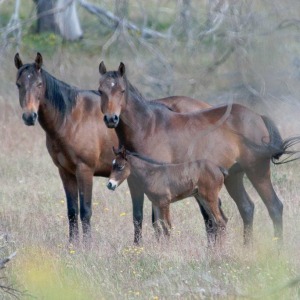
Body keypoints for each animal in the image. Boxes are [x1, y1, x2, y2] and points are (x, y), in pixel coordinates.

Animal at [14, 51, 216, 244]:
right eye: (18, 84)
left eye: (39, 84)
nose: (29, 116)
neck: (72, 119)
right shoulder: (65, 172)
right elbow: (72, 211)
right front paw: (72, 245)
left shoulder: (84, 170)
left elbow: (85, 210)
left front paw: (87, 246)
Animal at [97, 61, 298, 246]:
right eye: (100, 91)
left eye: (122, 90)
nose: (111, 119)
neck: (147, 127)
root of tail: (258, 116)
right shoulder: (133, 181)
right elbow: (138, 217)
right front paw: (139, 248)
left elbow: (158, 222)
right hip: (234, 176)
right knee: (246, 208)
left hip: (257, 171)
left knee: (274, 206)